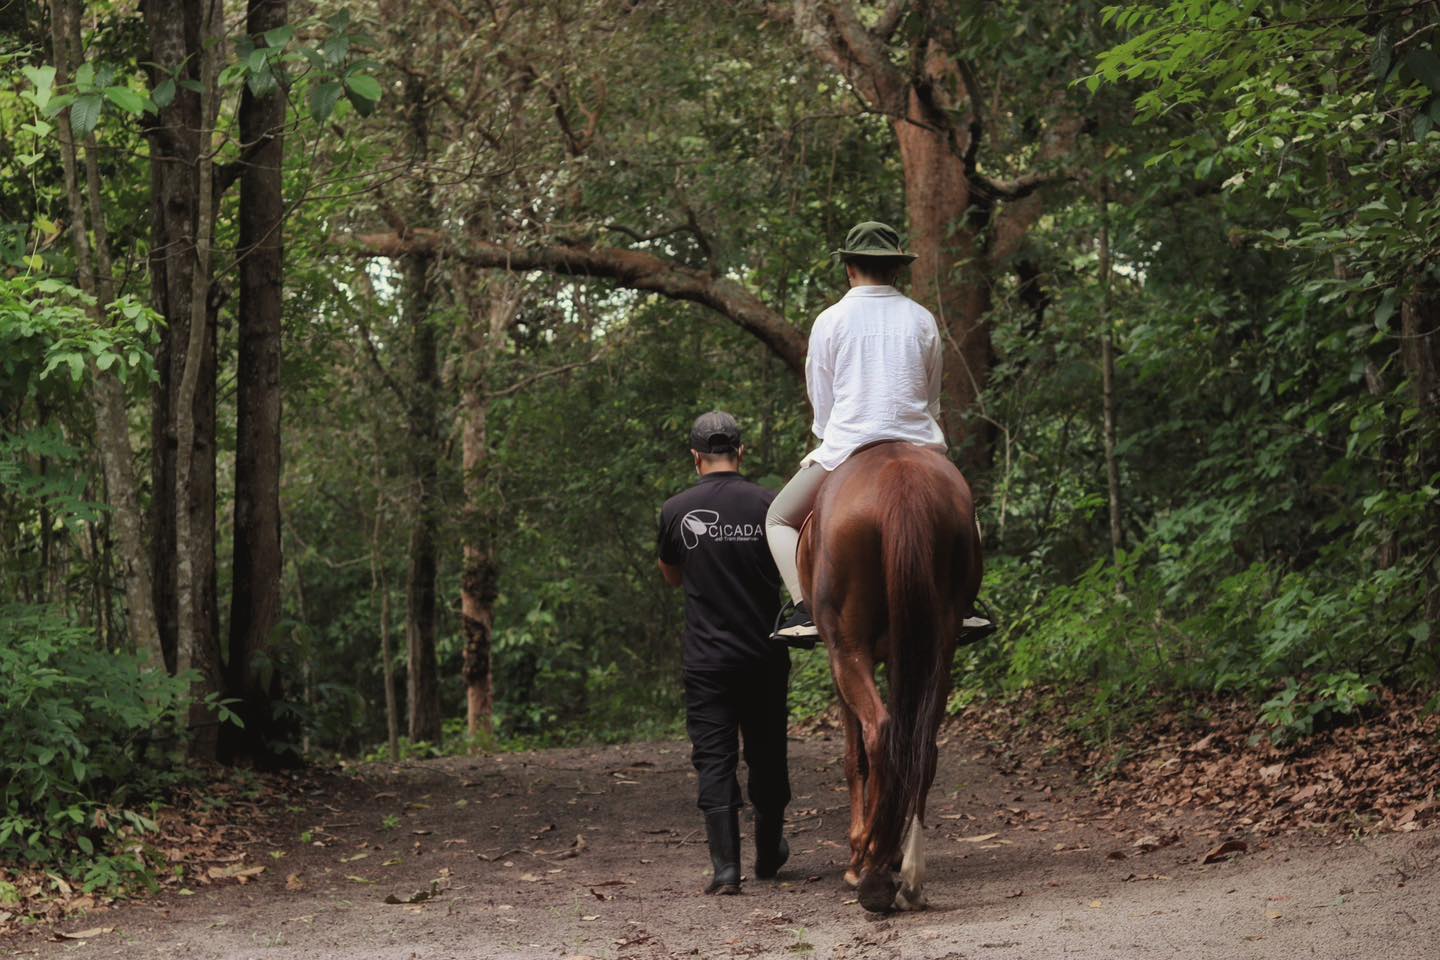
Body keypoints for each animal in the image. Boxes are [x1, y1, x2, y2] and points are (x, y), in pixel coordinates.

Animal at [794, 440, 984, 915]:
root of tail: (901, 484)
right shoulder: (904, 654)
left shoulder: (838, 656)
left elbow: (853, 756)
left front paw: (860, 849)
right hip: (938, 642)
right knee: (923, 744)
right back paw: (906, 872)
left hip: (847, 650)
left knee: (879, 733)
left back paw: (870, 871)